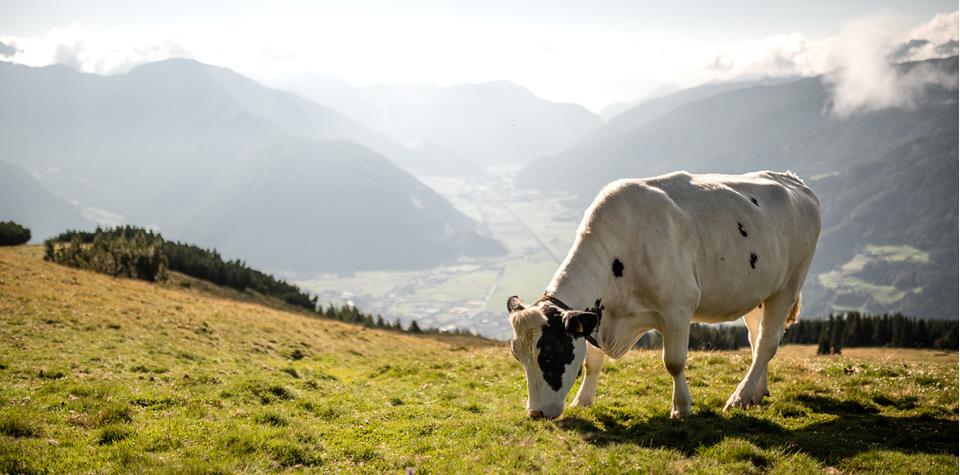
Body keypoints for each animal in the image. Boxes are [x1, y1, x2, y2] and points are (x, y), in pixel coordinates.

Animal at [507, 171, 820, 420]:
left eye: (548, 354)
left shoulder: (677, 308)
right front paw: (582, 401)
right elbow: (591, 361)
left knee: (768, 343)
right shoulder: (597, 315)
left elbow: (674, 361)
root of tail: (793, 180)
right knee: (757, 340)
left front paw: (681, 407)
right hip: (759, 293)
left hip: (788, 285)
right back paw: (757, 392)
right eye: (517, 355)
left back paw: (739, 397)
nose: (535, 413)